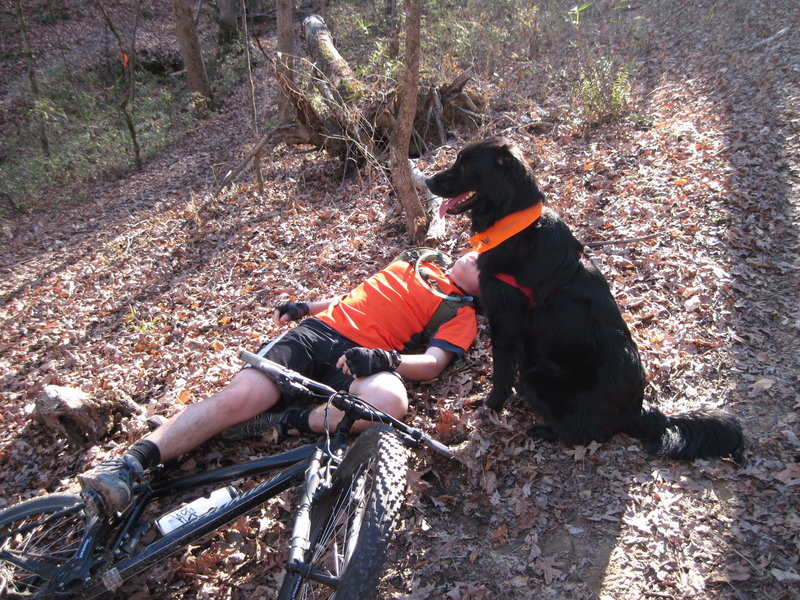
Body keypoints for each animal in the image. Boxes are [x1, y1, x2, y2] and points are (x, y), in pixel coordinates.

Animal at [424, 138, 744, 462]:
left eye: (465, 165)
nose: (427, 181)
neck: (515, 225)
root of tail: (638, 410)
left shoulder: (505, 323)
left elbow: (501, 373)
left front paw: (489, 406)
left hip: (535, 377)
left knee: (582, 433)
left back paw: (543, 431)